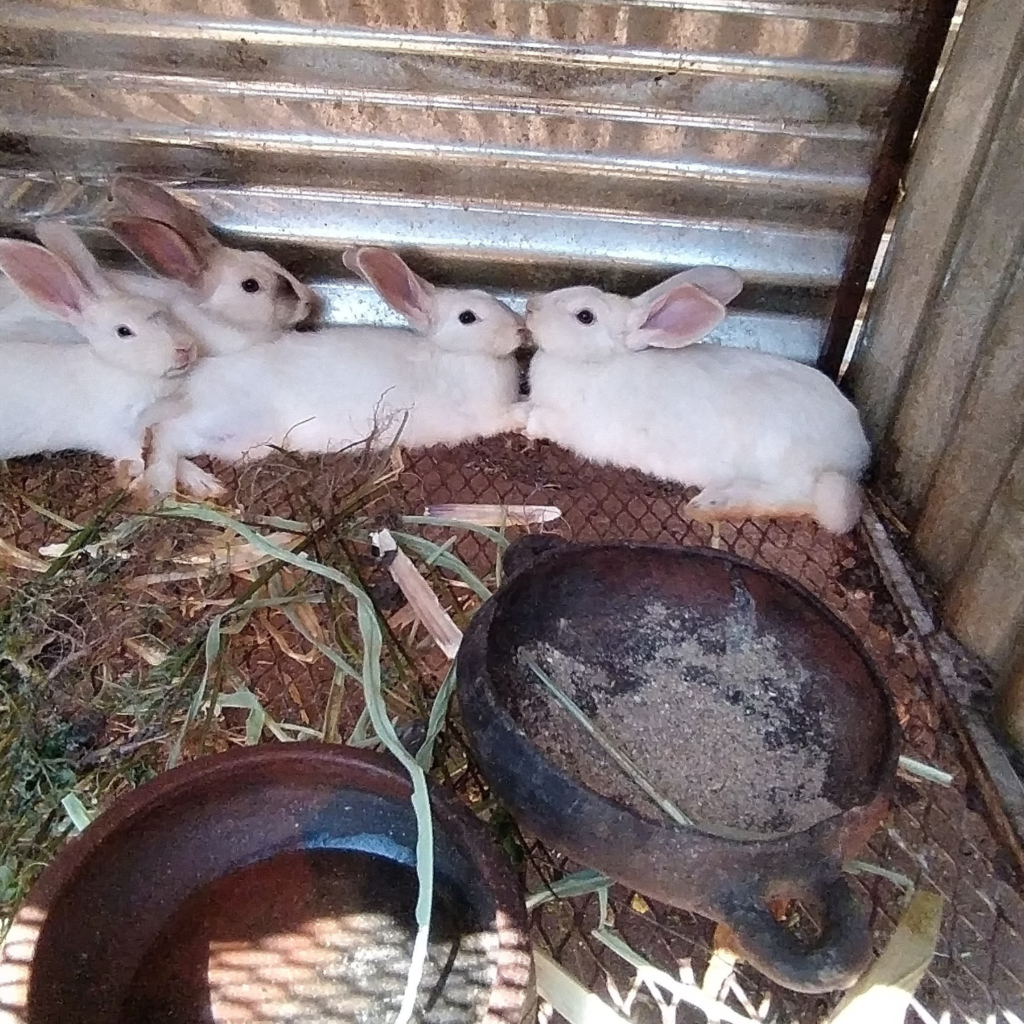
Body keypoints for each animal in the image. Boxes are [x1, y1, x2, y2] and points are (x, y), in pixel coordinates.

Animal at [140, 246, 527, 499]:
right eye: (468, 317)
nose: (521, 330)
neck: (456, 355)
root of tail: (194, 382)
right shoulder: (489, 415)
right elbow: (515, 413)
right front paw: (532, 414)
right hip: (225, 420)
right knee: (166, 435)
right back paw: (171, 484)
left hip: (245, 443)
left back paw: (196, 481)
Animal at [522, 268, 871, 534]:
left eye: (585, 316)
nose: (530, 305)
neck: (599, 362)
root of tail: (855, 450)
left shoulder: (583, 429)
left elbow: (544, 421)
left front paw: (528, 425)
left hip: (783, 459)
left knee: (802, 499)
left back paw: (711, 504)